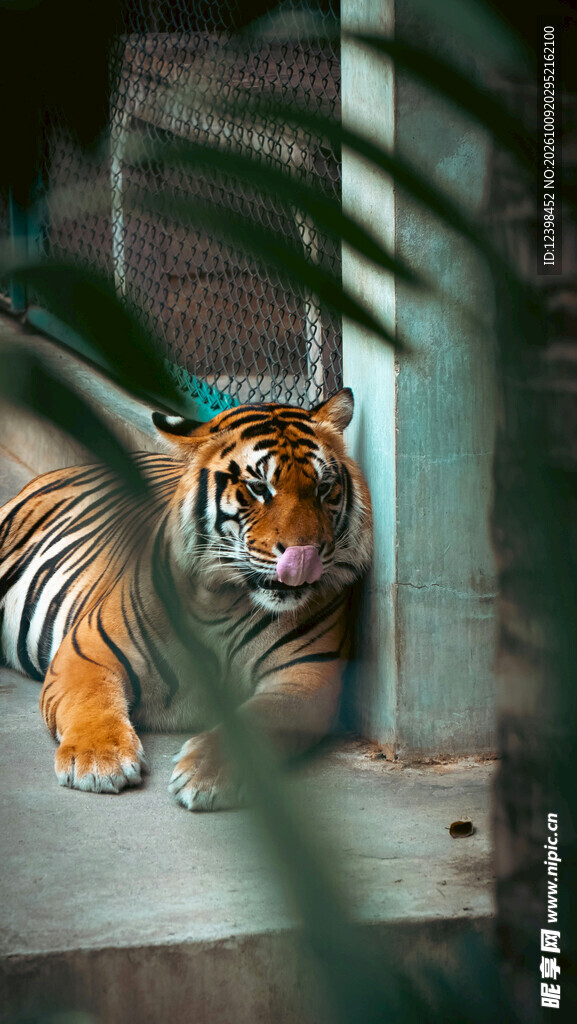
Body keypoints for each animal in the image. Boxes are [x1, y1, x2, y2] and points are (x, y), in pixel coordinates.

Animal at [0, 387, 372, 810]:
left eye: (324, 489)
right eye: (259, 489)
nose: (306, 556)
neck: (227, 601)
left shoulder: (305, 678)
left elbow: (259, 722)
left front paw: (206, 773)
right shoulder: (88, 650)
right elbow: (91, 702)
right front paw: (98, 760)